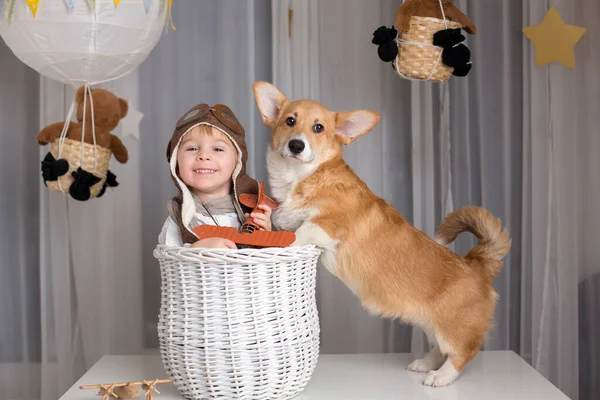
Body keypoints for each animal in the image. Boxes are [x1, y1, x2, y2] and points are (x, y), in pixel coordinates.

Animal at [252, 81, 510, 388]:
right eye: (290, 121)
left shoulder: (326, 224)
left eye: (318, 128)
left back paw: (440, 377)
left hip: (452, 328)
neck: (301, 177)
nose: (296, 145)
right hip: (430, 324)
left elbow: (300, 232)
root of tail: (477, 264)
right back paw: (424, 364)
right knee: (439, 349)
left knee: (462, 353)